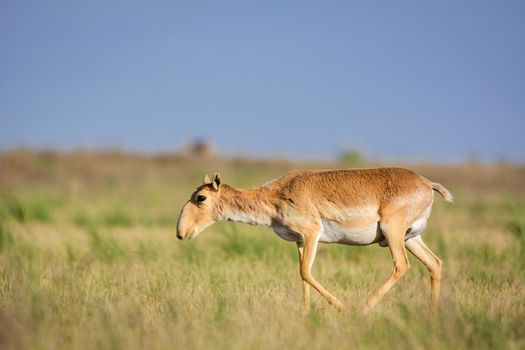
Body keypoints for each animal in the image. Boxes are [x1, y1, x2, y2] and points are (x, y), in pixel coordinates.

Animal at [175, 168, 450, 314]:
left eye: (200, 197)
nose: (181, 232)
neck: (276, 195)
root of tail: (427, 183)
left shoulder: (311, 234)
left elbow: (306, 272)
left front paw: (340, 306)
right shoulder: (299, 241)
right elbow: (302, 276)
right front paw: (306, 314)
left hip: (393, 234)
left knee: (402, 265)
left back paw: (363, 307)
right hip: (410, 238)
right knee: (434, 263)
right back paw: (433, 315)